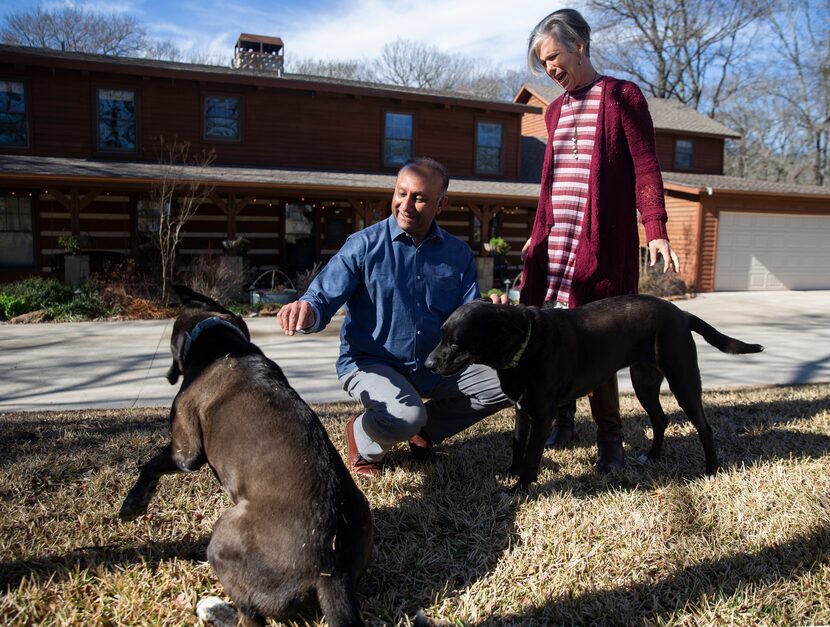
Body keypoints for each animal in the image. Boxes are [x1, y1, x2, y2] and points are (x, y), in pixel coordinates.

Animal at [118, 286, 372, 627]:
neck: (220, 343)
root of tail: (330, 572)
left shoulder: (186, 452)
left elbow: (151, 465)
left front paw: (133, 503)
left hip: (222, 538)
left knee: (250, 618)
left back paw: (214, 609)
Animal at [426, 294, 764, 490]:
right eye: (440, 336)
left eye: (456, 343)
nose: (428, 364)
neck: (524, 344)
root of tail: (680, 312)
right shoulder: (522, 409)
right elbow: (517, 444)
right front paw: (512, 472)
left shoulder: (543, 413)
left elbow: (533, 452)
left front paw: (521, 488)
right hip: (644, 381)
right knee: (661, 419)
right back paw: (652, 457)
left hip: (683, 380)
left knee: (704, 426)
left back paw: (711, 469)